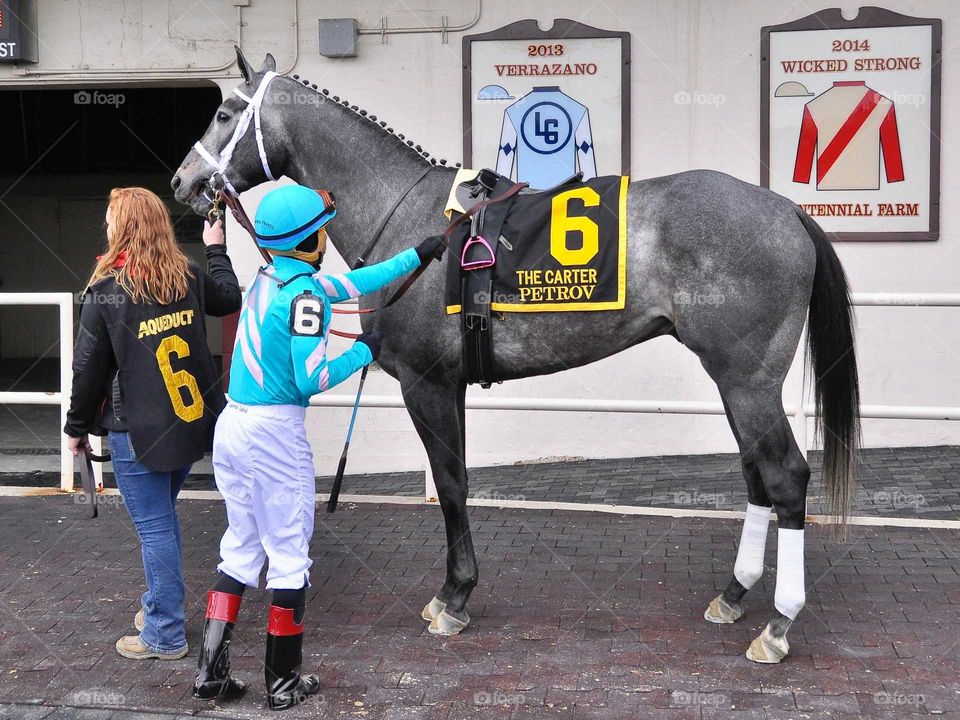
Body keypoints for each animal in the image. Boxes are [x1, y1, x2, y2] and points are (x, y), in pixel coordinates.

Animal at [174, 50, 864, 668]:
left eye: (226, 111)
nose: (183, 182)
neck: (405, 213)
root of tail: (788, 210)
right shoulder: (448, 385)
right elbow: (455, 479)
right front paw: (457, 591)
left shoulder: (426, 383)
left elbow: (452, 483)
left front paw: (453, 596)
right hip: (736, 384)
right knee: (757, 475)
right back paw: (735, 594)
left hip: (748, 382)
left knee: (786, 477)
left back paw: (778, 624)